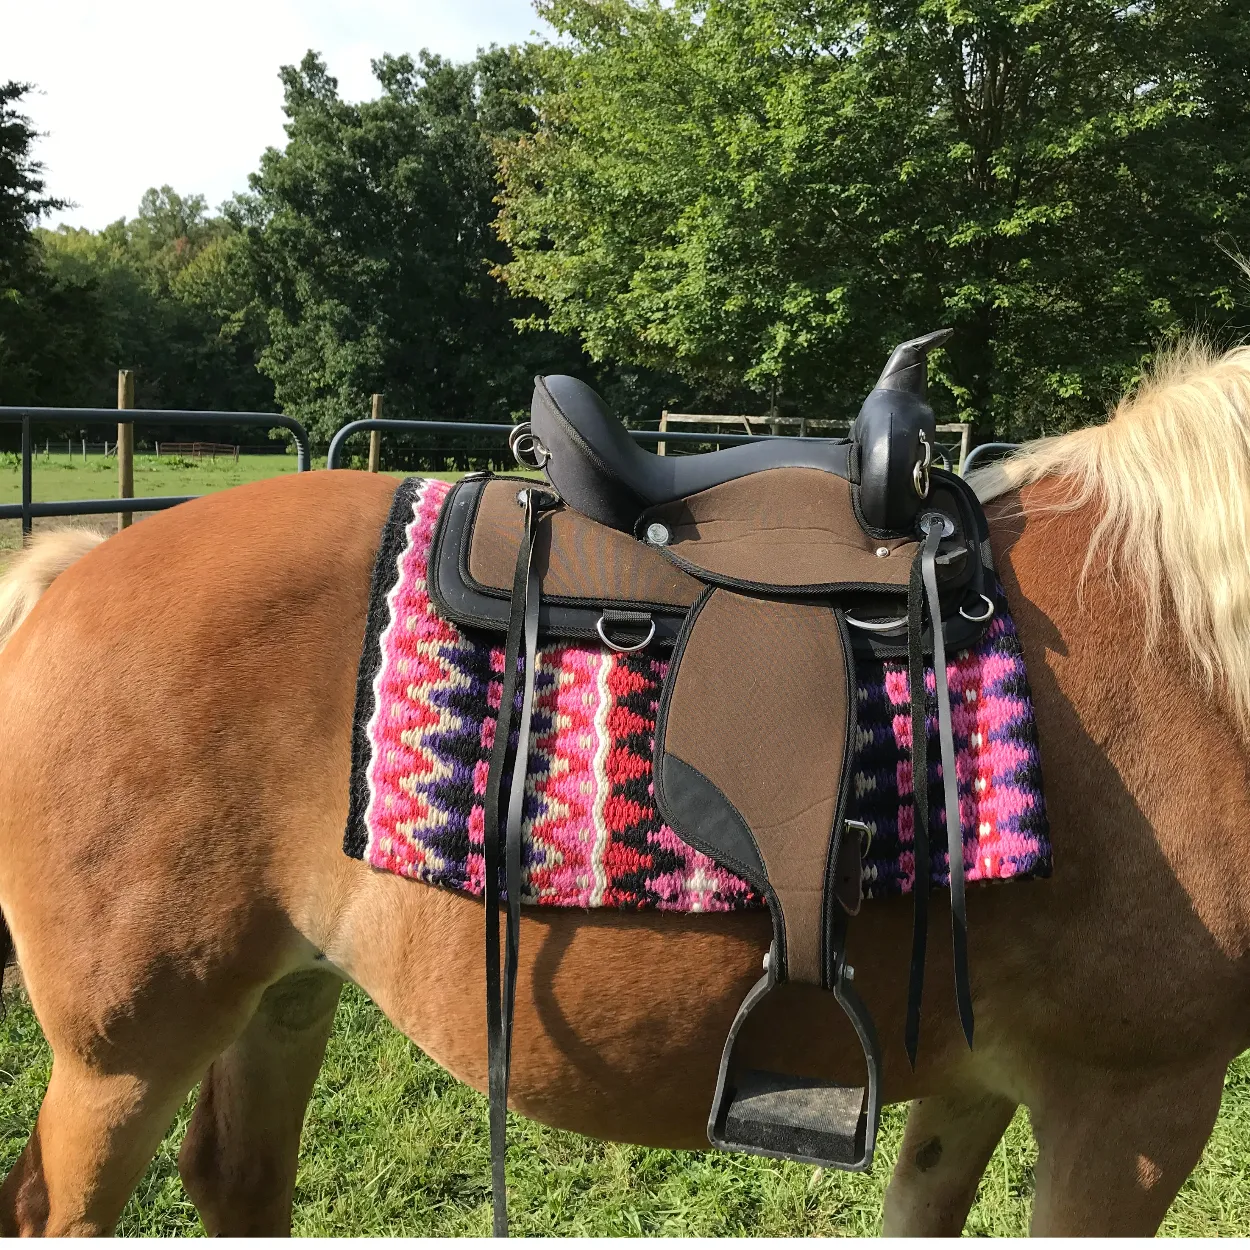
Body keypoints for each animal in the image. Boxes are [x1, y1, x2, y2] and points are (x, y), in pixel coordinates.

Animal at [0, 345, 1245, 1240]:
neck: (1185, 643)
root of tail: (70, 570)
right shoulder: (1132, 1101)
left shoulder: (979, 1082)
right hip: (123, 1049)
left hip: (285, 992)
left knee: (237, 1177)